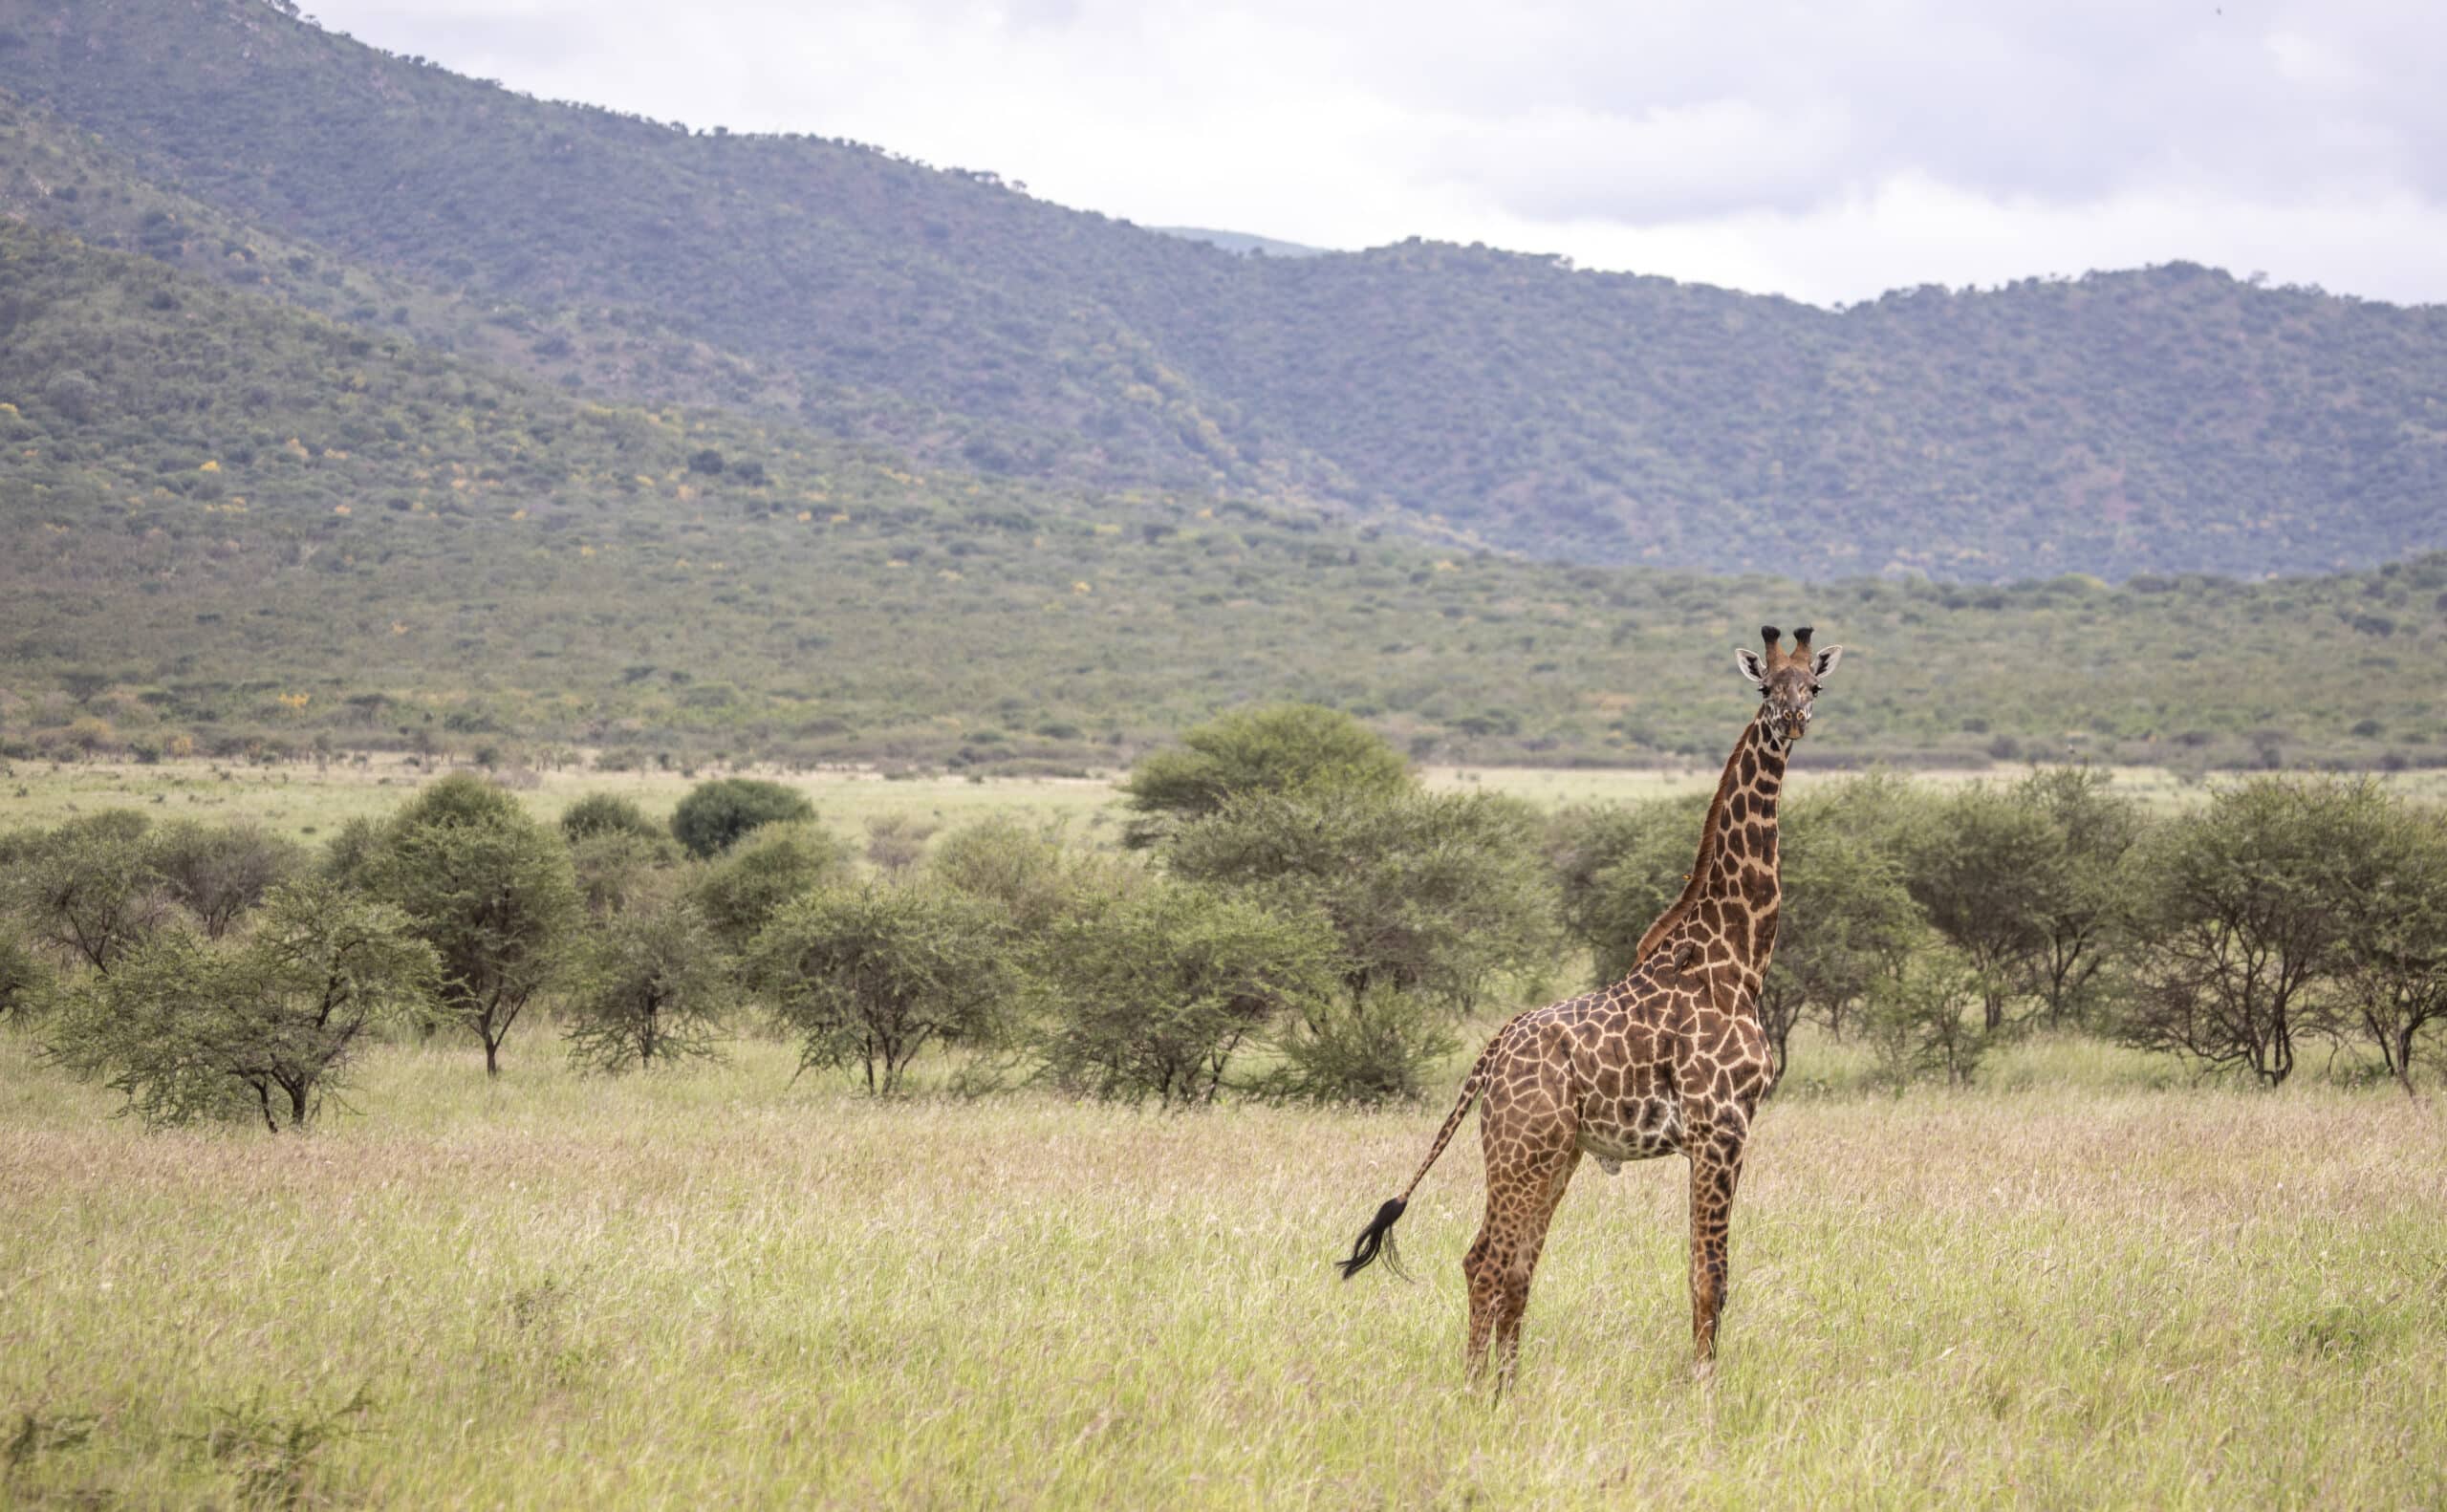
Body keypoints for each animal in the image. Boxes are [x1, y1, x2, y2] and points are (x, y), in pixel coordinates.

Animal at [1335, 625, 1844, 1389]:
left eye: (1812, 684)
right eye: (1764, 686)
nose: (1792, 721)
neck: (1738, 958)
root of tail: (1489, 1054)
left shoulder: (1712, 1135)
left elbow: (1702, 1270)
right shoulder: (1721, 1128)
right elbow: (1710, 1275)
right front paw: (1705, 1388)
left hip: (1555, 1154)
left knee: (1512, 1265)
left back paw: (1505, 1388)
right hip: (1524, 1149)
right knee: (1487, 1261)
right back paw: (1477, 1390)